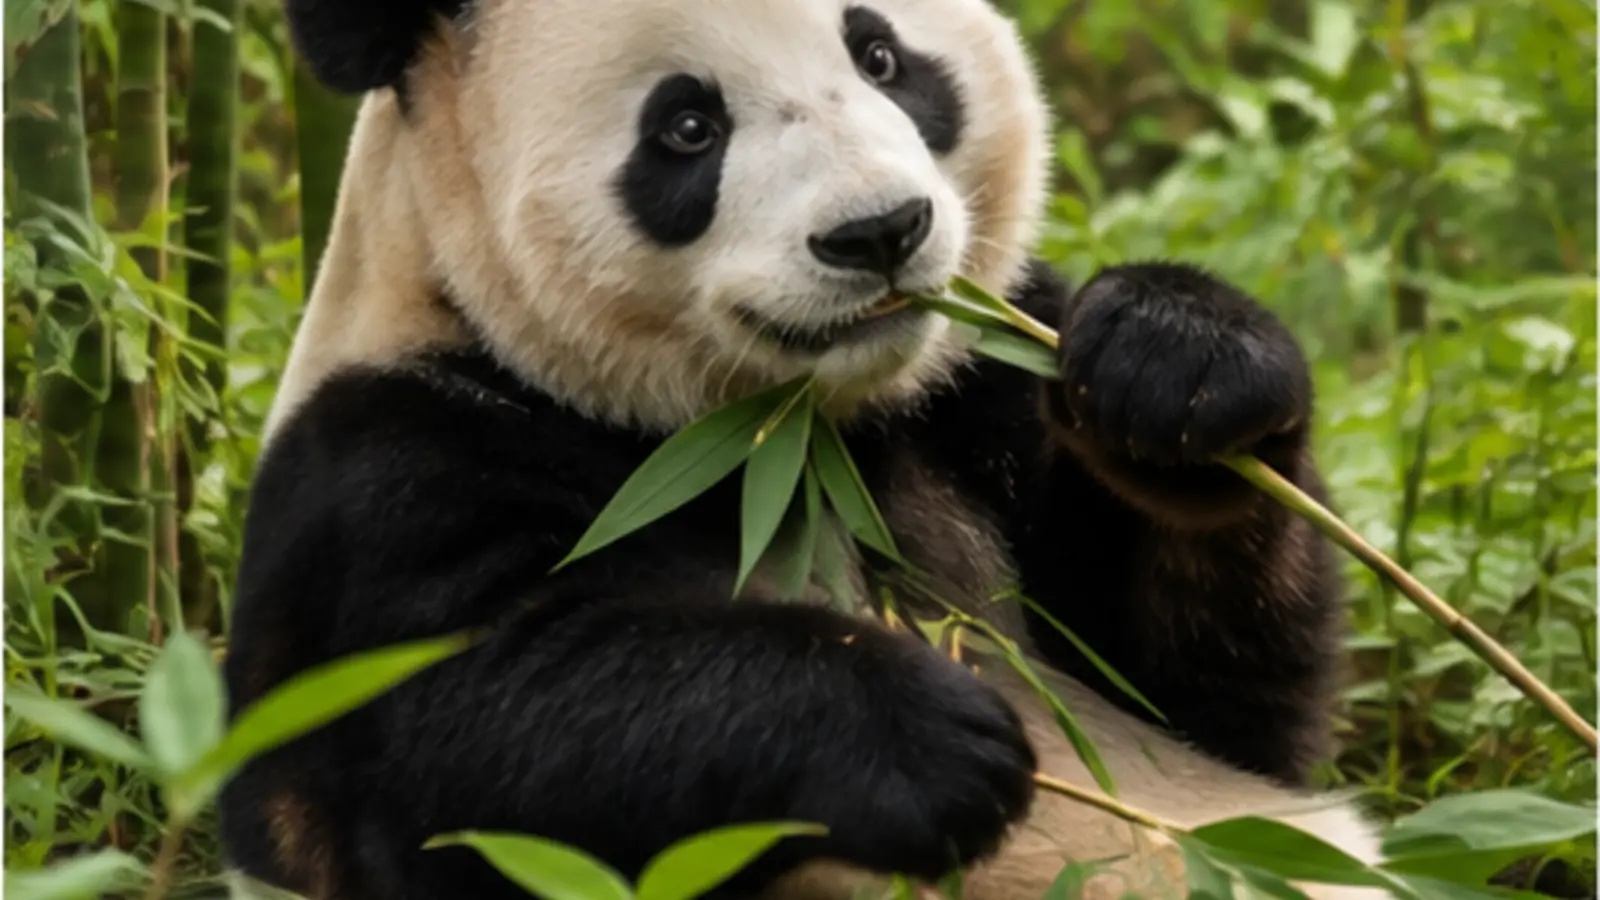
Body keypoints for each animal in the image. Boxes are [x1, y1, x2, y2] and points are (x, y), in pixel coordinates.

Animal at [219, 0, 1390, 898]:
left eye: (880, 56)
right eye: (688, 126)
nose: (881, 231)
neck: (785, 435)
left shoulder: (980, 388)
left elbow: (1218, 704)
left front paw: (1177, 366)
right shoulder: (387, 468)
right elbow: (459, 742)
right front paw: (926, 738)